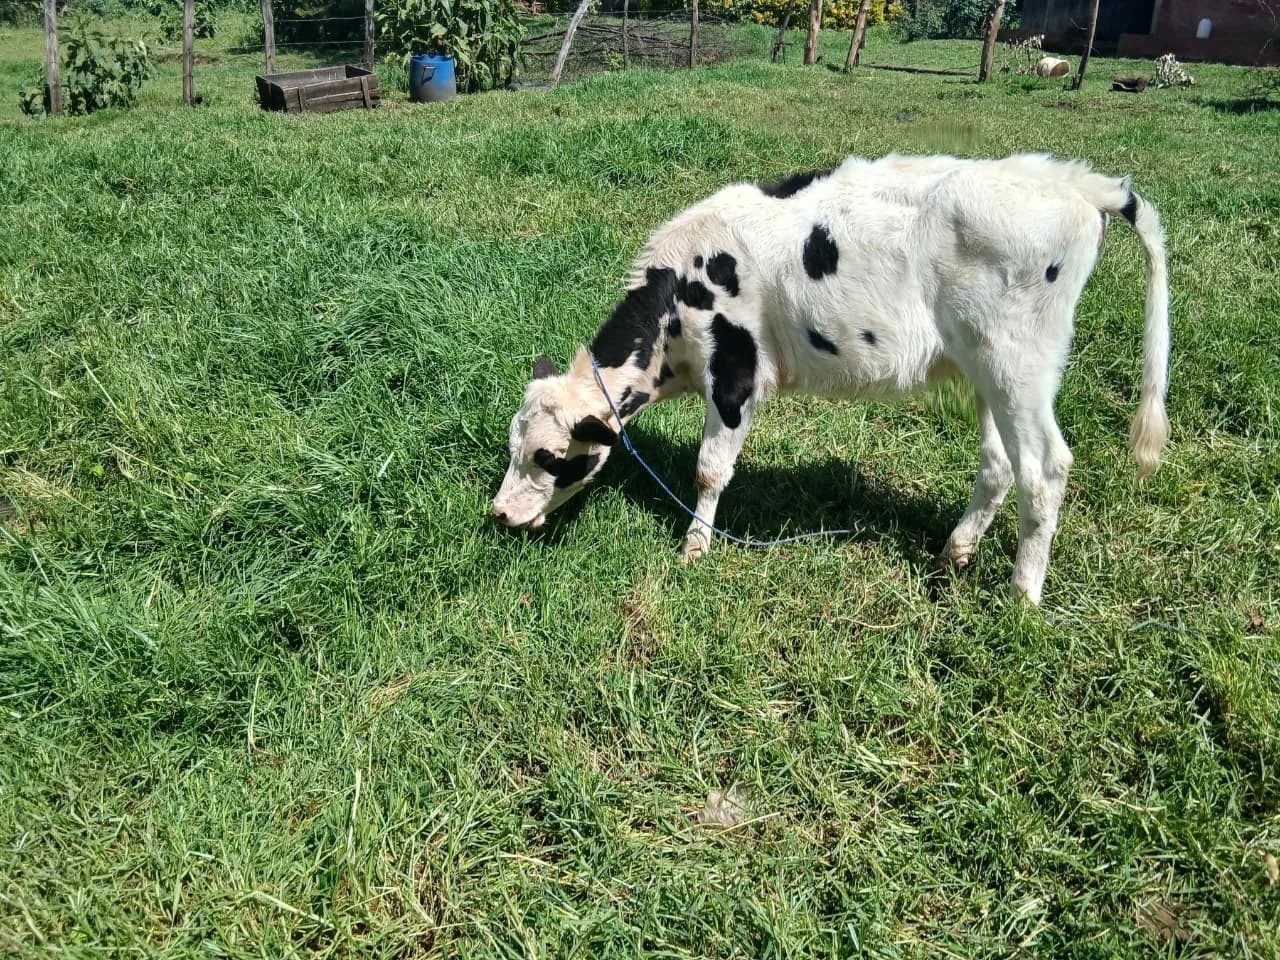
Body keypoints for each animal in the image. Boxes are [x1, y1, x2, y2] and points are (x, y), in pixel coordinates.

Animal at [492, 153, 1170, 604]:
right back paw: (955, 552)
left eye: (551, 455)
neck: (677, 297)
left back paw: (1022, 595)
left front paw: (694, 548)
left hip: (1018, 362)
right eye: (512, 445)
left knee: (1045, 469)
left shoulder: (734, 371)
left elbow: (710, 469)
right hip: (985, 367)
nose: (498, 514)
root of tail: (1073, 180)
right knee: (1000, 462)